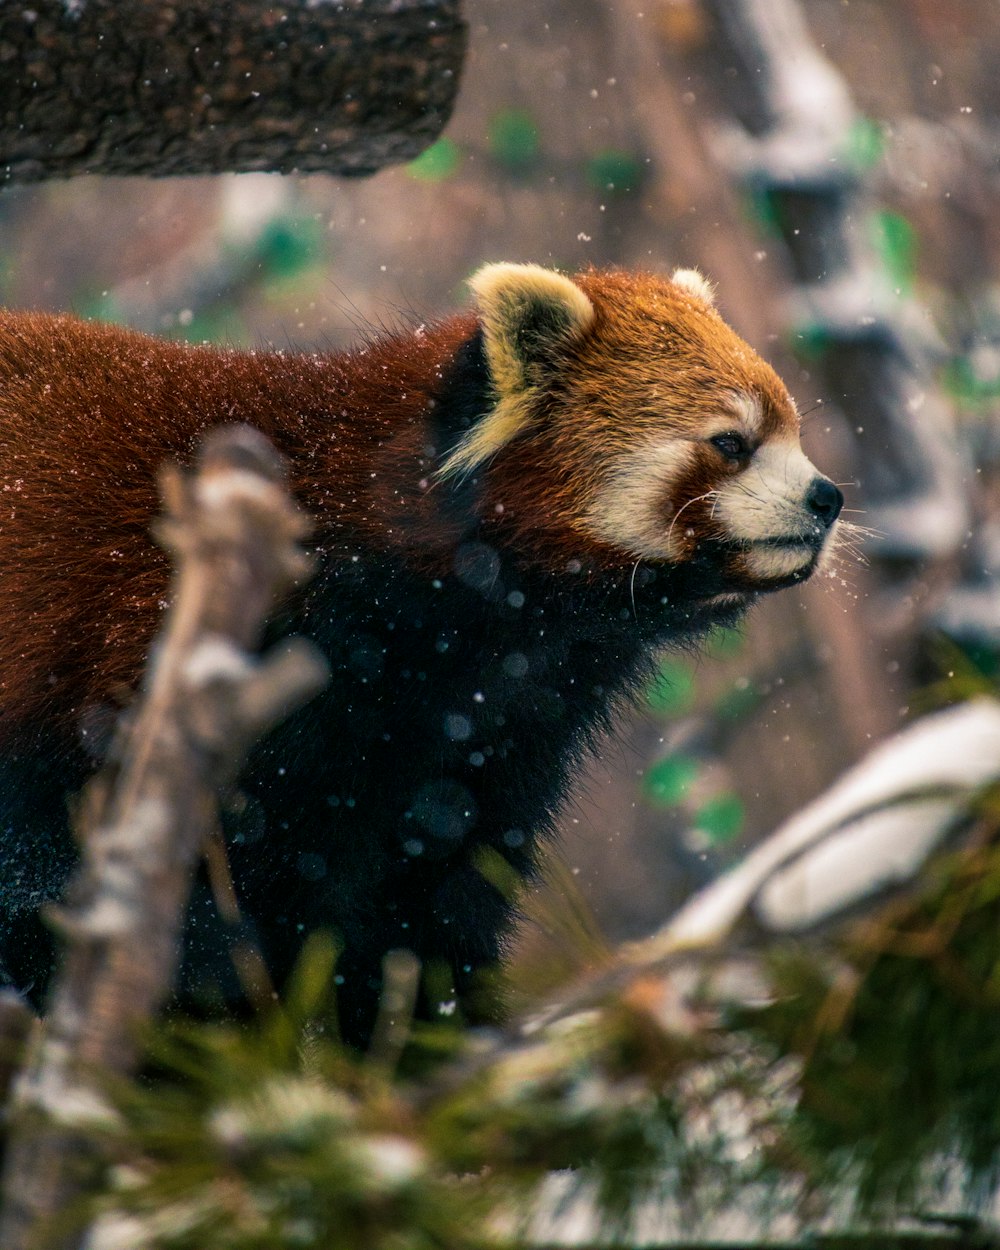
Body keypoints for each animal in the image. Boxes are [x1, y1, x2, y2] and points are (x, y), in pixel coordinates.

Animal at [0, 263, 840, 1045]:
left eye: (793, 433)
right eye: (730, 444)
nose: (827, 497)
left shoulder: (482, 740)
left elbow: (427, 901)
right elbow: (72, 867)